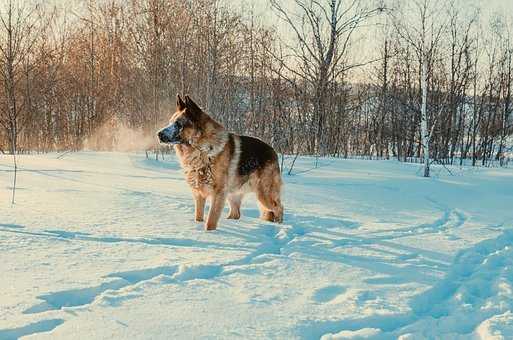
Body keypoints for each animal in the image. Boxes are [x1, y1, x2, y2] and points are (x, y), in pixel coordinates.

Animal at [157, 94, 282, 230]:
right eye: (170, 122)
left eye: (178, 124)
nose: (158, 134)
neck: (201, 150)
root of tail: (272, 150)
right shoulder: (199, 194)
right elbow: (198, 217)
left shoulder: (218, 193)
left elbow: (211, 220)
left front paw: (209, 233)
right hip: (233, 195)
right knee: (236, 213)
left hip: (263, 194)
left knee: (279, 208)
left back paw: (281, 226)